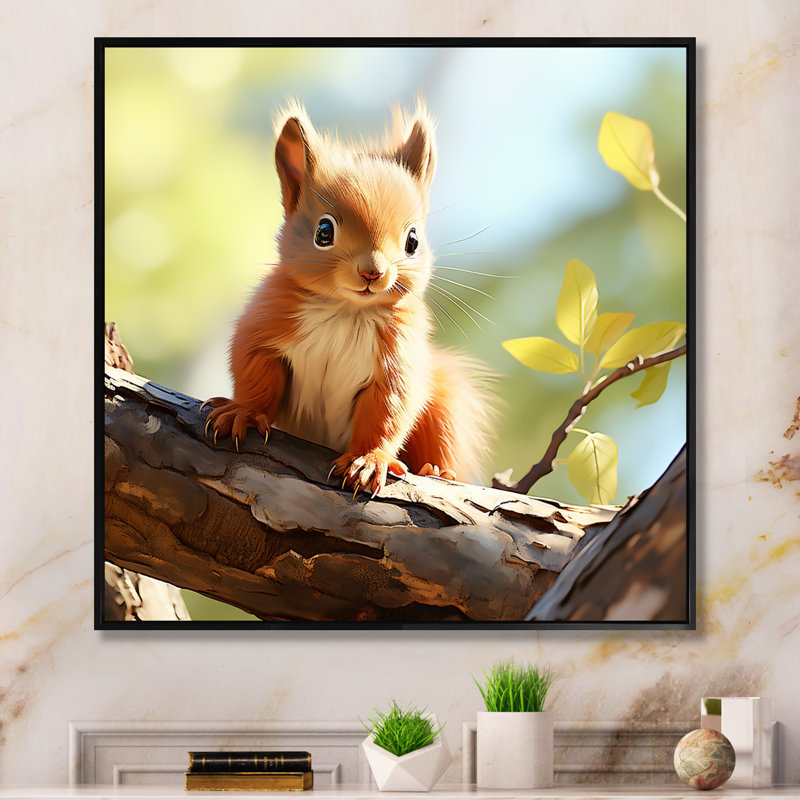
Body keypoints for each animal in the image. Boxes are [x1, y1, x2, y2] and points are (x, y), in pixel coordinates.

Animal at [203, 102, 493, 496]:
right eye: (323, 232)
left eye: (413, 240)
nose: (372, 272)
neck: (346, 310)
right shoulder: (265, 327)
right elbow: (255, 375)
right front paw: (243, 412)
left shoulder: (396, 362)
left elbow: (387, 412)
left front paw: (369, 461)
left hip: (446, 403)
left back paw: (437, 470)